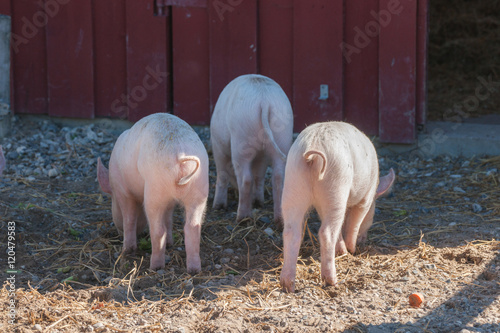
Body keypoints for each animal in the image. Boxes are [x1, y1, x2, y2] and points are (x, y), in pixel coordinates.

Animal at [97, 112, 209, 272]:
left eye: (113, 203)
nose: (118, 233)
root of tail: (179, 155)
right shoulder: (170, 201)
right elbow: (168, 218)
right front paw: (170, 244)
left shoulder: (123, 191)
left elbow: (129, 218)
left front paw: (127, 250)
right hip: (199, 190)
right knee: (192, 227)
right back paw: (194, 269)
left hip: (154, 189)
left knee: (158, 230)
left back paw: (155, 267)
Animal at [210, 74, 292, 227]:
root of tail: (264, 100)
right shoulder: (262, 156)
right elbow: (259, 175)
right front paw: (258, 202)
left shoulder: (218, 146)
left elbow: (222, 174)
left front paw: (217, 207)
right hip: (283, 134)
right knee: (278, 176)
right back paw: (279, 221)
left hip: (241, 139)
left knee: (246, 178)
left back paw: (242, 219)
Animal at [282, 121, 394, 290]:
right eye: (373, 215)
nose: (363, 241)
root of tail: (313, 148)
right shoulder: (366, 198)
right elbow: (355, 221)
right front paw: (352, 250)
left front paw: (344, 251)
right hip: (336, 185)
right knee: (326, 232)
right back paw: (332, 281)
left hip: (293, 183)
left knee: (291, 232)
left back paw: (287, 286)